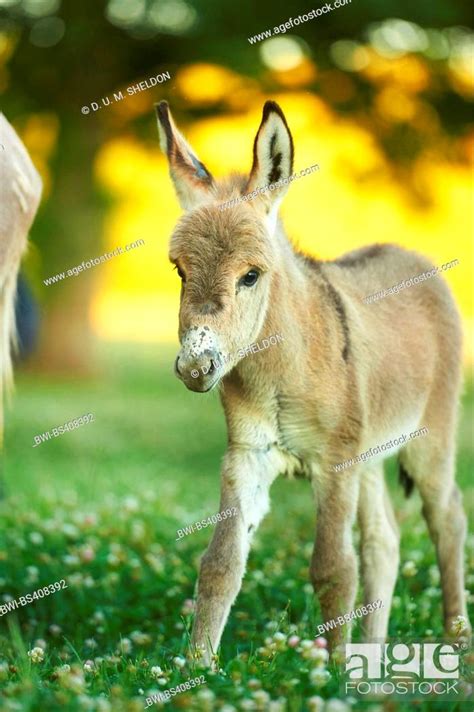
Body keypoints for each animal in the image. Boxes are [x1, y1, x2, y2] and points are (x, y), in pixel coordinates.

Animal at [156, 98, 470, 660]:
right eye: (179, 272)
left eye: (251, 275)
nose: (195, 368)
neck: (280, 370)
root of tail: (408, 252)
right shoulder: (247, 456)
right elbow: (219, 564)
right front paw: (196, 669)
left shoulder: (334, 463)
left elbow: (333, 569)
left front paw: (336, 670)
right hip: (370, 450)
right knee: (384, 543)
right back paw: (375, 655)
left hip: (429, 438)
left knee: (447, 518)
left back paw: (455, 639)